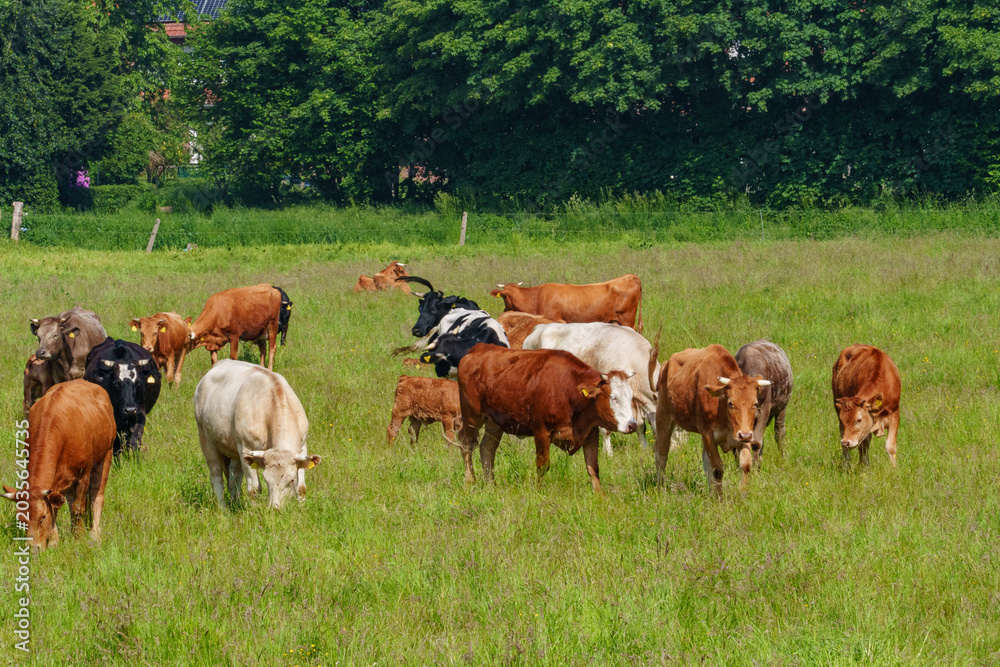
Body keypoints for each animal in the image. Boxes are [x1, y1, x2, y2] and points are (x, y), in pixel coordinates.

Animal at [2, 380, 116, 550]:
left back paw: (95, 533)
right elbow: (56, 507)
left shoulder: (85, 471)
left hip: (105, 455)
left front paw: (79, 537)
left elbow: (78, 507)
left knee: (97, 496)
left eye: (42, 517)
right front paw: (54, 541)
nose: (33, 549)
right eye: (21, 520)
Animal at [194, 360, 320, 509]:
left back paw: (235, 503)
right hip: (206, 439)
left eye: (291, 480)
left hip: (234, 449)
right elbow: (254, 488)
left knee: (234, 476)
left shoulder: (302, 448)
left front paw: (302, 509)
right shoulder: (246, 447)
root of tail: (221, 362)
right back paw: (222, 508)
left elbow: (301, 487)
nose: (275, 508)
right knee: (216, 476)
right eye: (267, 480)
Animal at [457, 344, 638, 494]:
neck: (570, 393)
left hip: (494, 422)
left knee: (487, 448)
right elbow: (542, 465)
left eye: (630, 397)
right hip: (472, 416)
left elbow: (593, 468)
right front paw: (539, 491)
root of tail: (479, 348)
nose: (633, 425)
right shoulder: (541, 432)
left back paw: (490, 484)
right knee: (466, 445)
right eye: (613, 397)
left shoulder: (590, 433)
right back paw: (469, 480)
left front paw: (600, 496)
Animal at [653, 345, 771, 496]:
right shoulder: (708, 434)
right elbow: (718, 468)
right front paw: (719, 497)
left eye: (755, 404)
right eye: (731, 403)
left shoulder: (744, 433)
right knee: (661, 451)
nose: (744, 435)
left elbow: (745, 465)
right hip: (664, 414)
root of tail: (666, 364)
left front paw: (742, 494)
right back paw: (660, 486)